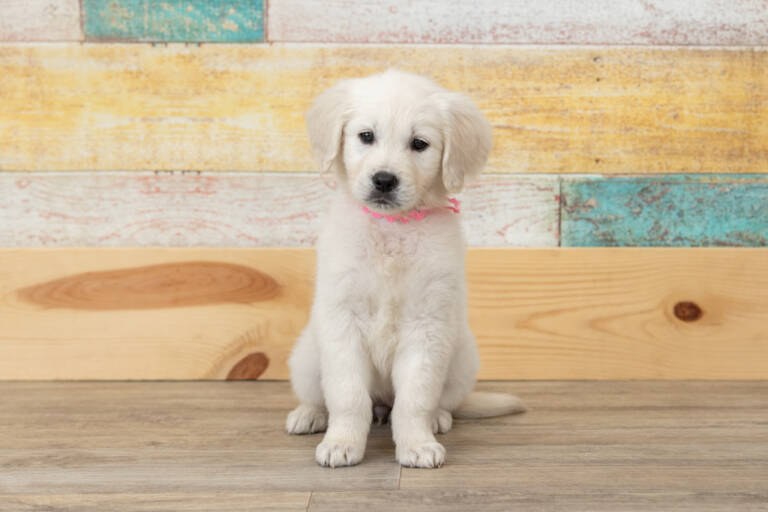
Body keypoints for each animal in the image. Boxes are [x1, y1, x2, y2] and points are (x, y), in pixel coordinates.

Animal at [286, 69, 525, 469]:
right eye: (366, 136)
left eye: (419, 144)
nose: (384, 180)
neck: (393, 228)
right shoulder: (343, 322)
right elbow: (347, 396)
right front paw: (341, 443)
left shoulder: (427, 326)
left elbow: (415, 400)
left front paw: (417, 445)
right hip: (306, 355)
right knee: (323, 397)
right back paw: (310, 415)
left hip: (462, 357)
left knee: (437, 403)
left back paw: (437, 419)